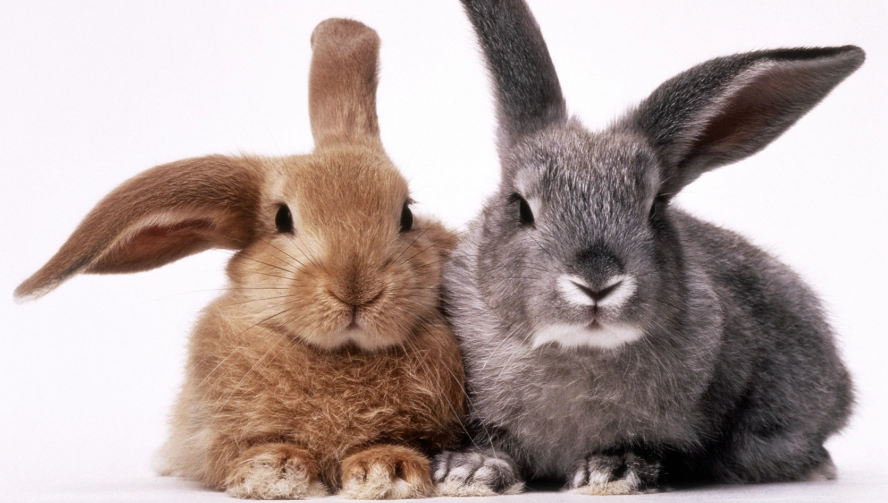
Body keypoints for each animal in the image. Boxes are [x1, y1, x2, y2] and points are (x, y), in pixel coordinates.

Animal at [14, 18, 466, 500]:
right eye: (282, 218)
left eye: (407, 215)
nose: (356, 289)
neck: (342, 354)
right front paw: (275, 469)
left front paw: (387, 469)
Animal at [432, 0, 863, 496]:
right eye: (521, 206)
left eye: (655, 206)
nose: (597, 283)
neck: (581, 352)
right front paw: (470, 472)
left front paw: (614, 471)